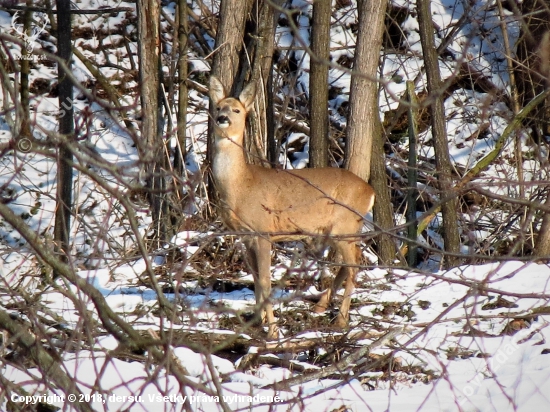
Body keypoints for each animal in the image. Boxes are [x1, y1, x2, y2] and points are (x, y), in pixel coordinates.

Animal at [209, 75, 378, 340]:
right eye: (218, 107)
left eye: (237, 110)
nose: (222, 118)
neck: (241, 185)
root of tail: (370, 191)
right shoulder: (245, 235)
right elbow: (255, 278)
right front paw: (256, 321)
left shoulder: (263, 230)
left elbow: (266, 280)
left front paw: (273, 331)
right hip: (339, 228)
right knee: (352, 261)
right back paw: (321, 306)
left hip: (345, 224)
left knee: (354, 266)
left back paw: (341, 320)